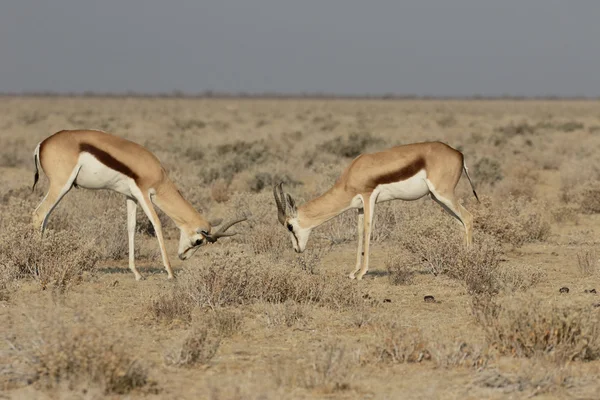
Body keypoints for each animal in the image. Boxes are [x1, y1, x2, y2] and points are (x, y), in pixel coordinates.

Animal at [29, 130, 246, 280]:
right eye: (199, 241)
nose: (183, 257)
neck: (156, 172)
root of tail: (42, 144)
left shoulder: (130, 197)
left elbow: (131, 227)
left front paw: (137, 273)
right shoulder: (143, 193)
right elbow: (157, 223)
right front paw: (170, 273)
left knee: (44, 219)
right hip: (61, 185)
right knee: (38, 214)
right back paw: (37, 265)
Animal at [276, 141, 478, 282]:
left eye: (289, 226)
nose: (296, 249)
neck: (353, 173)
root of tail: (458, 153)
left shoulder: (368, 197)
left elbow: (368, 229)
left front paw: (361, 274)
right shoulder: (359, 207)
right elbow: (359, 232)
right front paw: (353, 272)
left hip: (444, 194)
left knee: (468, 217)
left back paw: (468, 263)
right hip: (437, 198)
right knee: (460, 222)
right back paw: (459, 261)